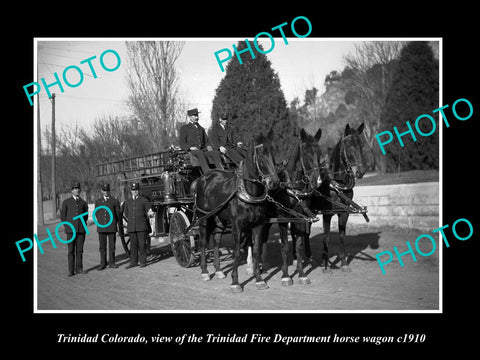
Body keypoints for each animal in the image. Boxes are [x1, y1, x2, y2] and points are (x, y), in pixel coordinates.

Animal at [193, 129, 280, 292]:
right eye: (260, 154)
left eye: (274, 152)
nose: (274, 182)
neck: (249, 192)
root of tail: (202, 178)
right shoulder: (237, 224)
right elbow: (237, 251)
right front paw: (235, 282)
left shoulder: (258, 223)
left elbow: (256, 250)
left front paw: (259, 279)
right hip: (203, 217)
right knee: (203, 242)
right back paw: (205, 271)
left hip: (219, 219)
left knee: (216, 241)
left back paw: (218, 270)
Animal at [248, 128, 322, 286]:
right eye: (305, 152)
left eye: (319, 152)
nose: (317, 181)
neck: (292, 186)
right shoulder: (283, 217)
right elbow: (285, 246)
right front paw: (286, 275)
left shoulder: (300, 218)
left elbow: (299, 245)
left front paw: (301, 273)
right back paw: (251, 267)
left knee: (262, 238)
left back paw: (263, 264)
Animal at [310, 122, 370, 272]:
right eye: (348, 145)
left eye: (361, 144)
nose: (361, 171)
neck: (337, 184)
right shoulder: (327, 213)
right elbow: (326, 238)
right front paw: (325, 265)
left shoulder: (344, 212)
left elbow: (342, 237)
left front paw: (343, 263)